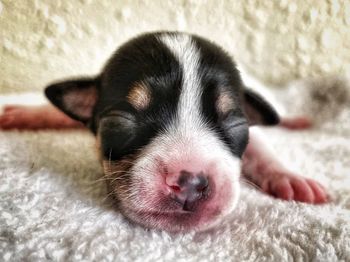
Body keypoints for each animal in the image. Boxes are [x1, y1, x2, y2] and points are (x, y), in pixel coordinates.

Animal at [0, 32, 328, 231]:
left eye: (236, 124)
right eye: (120, 120)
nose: (190, 183)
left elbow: (261, 148)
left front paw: (291, 178)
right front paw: (24, 113)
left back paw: (298, 120)